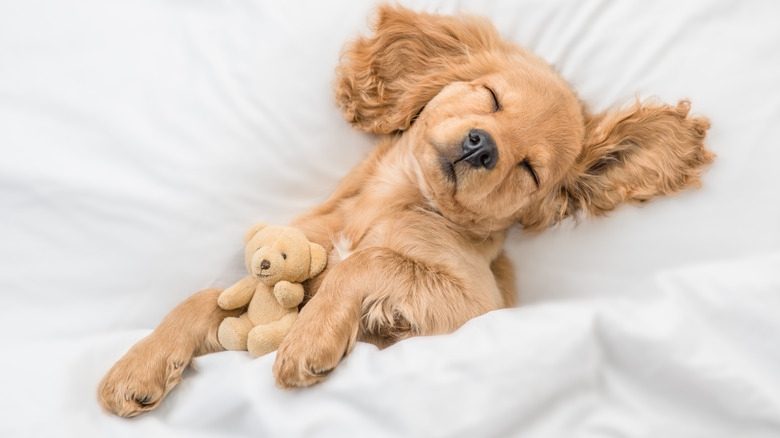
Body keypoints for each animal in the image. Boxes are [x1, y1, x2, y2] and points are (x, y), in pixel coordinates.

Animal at [97, 6, 712, 418]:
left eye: (530, 170)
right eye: (490, 97)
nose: (482, 148)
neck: (393, 200)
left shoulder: (474, 310)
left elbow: (367, 263)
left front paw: (311, 337)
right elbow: (203, 299)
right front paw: (140, 364)